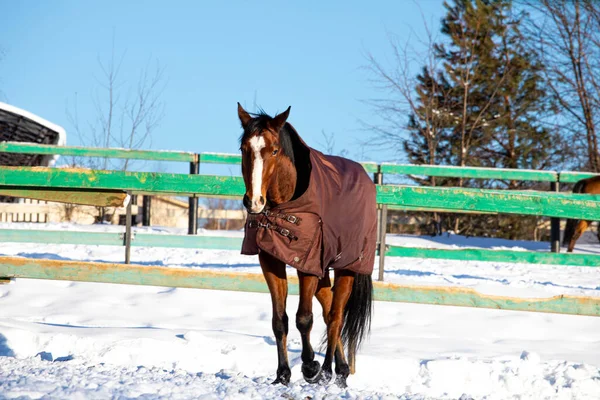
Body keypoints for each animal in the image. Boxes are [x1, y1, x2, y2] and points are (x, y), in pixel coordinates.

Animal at [238, 103, 376, 388]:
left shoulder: (307, 265)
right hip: (324, 271)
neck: (285, 207)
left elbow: (304, 318)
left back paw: (327, 371)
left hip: (347, 268)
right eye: (244, 149)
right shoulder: (271, 261)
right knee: (329, 309)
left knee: (336, 316)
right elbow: (279, 321)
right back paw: (341, 370)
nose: (254, 201)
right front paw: (282, 374)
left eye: (274, 150)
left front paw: (310, 366)